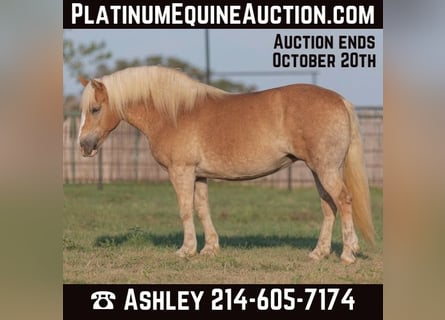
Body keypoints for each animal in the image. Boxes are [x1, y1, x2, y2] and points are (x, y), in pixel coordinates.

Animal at [78, 66, 372, 264]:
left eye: (95, 109)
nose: (83, 146)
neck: (174, 113)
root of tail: (339, 100)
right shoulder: (198, 175)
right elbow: (202, 209)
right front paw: (209, 248)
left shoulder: (181, 171)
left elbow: (185, 209)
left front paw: (186, 250)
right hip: (318, 170)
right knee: (328, 206)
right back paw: (318, 253)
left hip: (326, 169)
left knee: (343, 200)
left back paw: (348, 253)